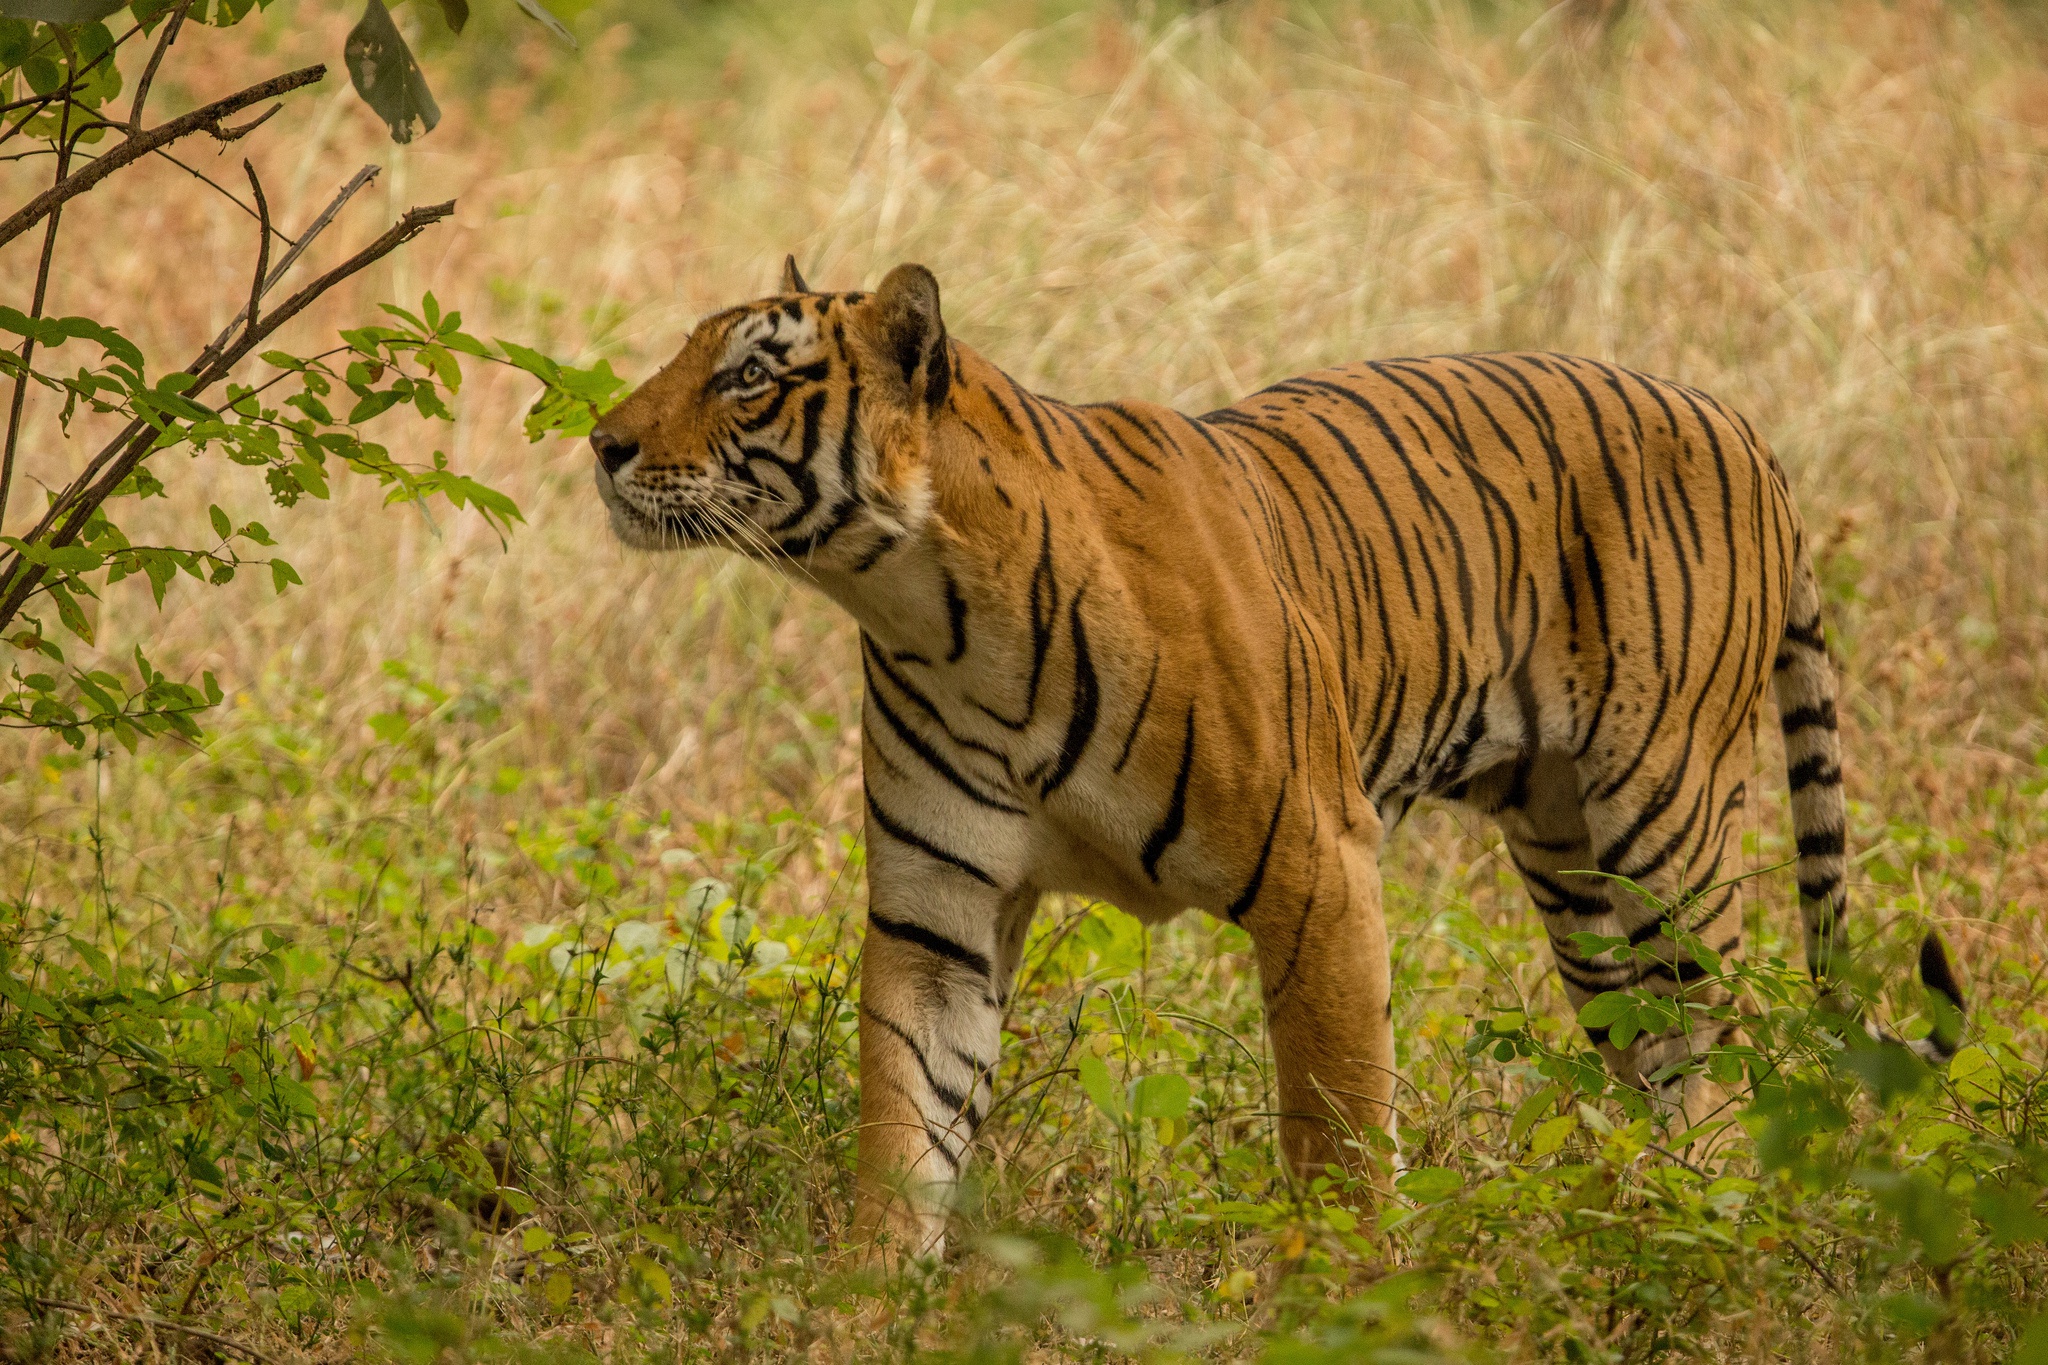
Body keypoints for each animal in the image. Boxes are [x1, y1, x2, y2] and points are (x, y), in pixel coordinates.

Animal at [589, 255, 1966, 1260]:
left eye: (748, 378)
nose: (600, 442)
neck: (926, 603)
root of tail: (1734, 419)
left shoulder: (1318, 868)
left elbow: (1338, 1121)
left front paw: (1349, 1299)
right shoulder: (939, 910)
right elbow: (905, 1115)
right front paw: (872, 1297)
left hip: (1662, 823)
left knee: (1713, 1043)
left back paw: (1699, 1225)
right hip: (1572, 864)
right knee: (1645, 1047)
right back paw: (1628, 1223)